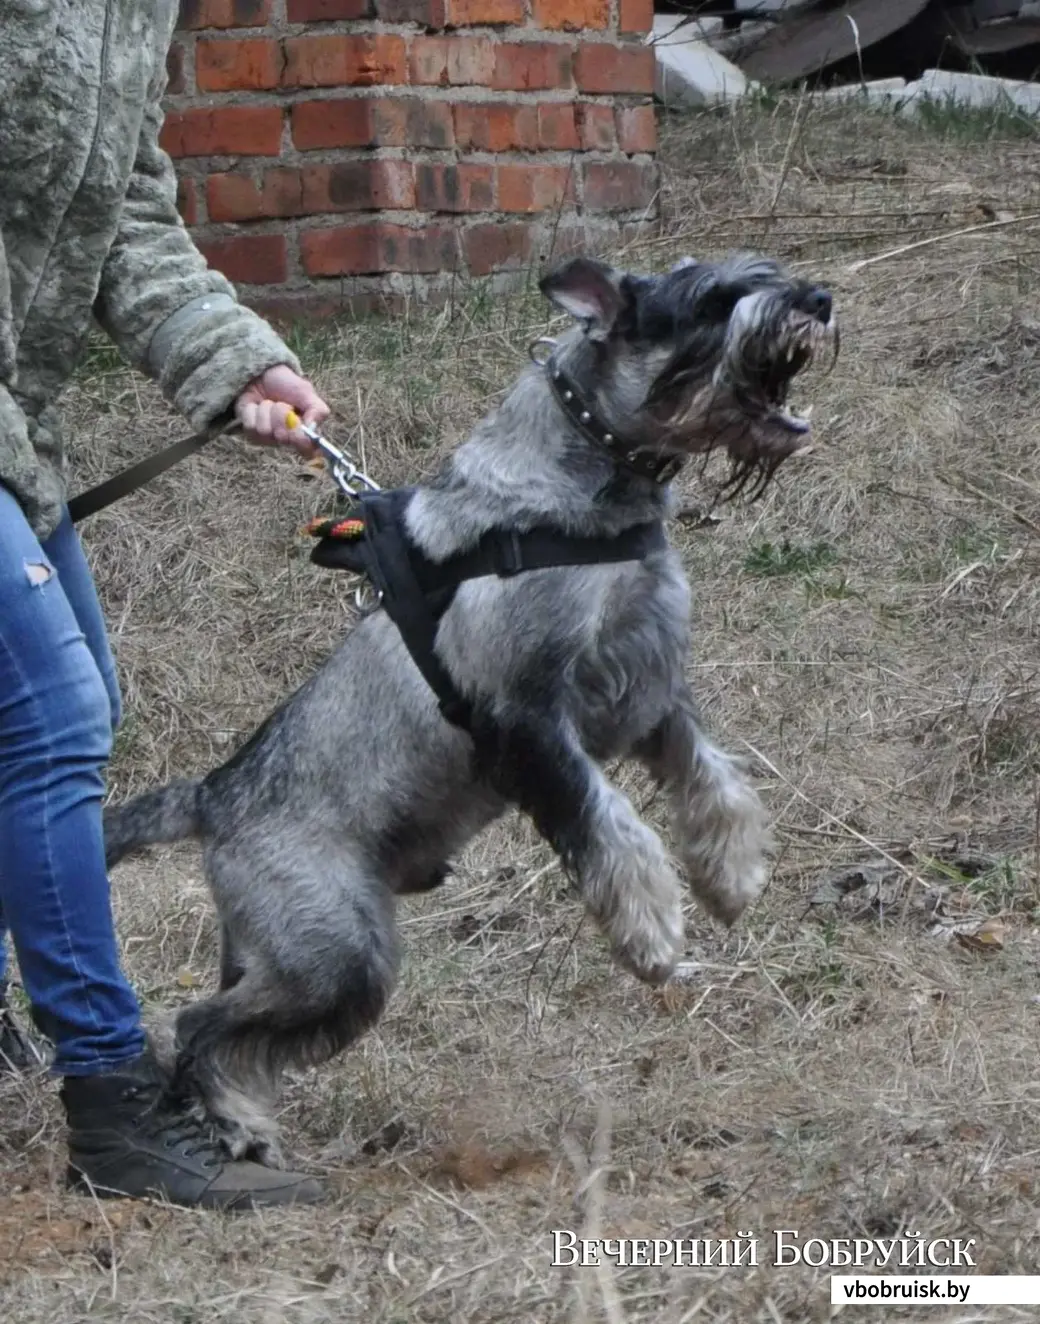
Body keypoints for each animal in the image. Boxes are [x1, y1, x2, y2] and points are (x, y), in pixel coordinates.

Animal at [103, 252, 837, 1165]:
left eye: (764, 274)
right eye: (712, 301)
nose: (818, 300)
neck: (578, 491)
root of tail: (211, 797)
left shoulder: (649, 693)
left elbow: (713, 780)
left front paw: (731, 876)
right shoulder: (529, 721)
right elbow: (610, 826)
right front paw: (652, 934)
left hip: (301, 955)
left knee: (235, 1034)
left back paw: (243, 1120)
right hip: (338, 954)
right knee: (199, 1024)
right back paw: (235, 1125)